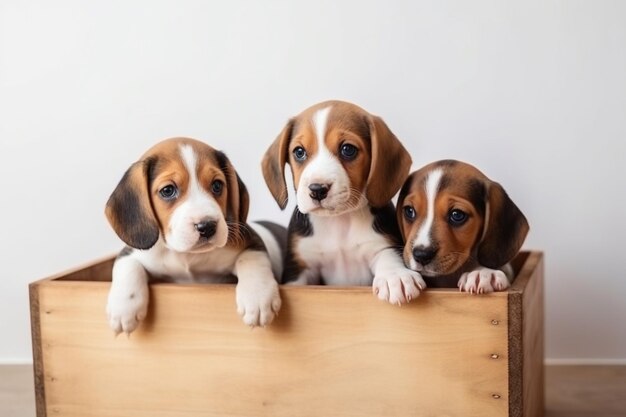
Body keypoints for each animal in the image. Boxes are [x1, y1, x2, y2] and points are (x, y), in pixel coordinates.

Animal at [105, 138, 286, 334]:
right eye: (167, 190)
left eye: (217, 185)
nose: (207, 226)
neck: (188, 256)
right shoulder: (132, 251)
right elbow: (128, 265)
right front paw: (123, 309)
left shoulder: (252, 241)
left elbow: (251, 259)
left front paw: (257, 298)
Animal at [258, 99, 424, 304]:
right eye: (299, 152)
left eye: (348, 150)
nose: (317, 189)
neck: (338, 222)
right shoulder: (301, 266)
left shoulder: (381, 243)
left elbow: (387, 255)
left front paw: (395, 276)